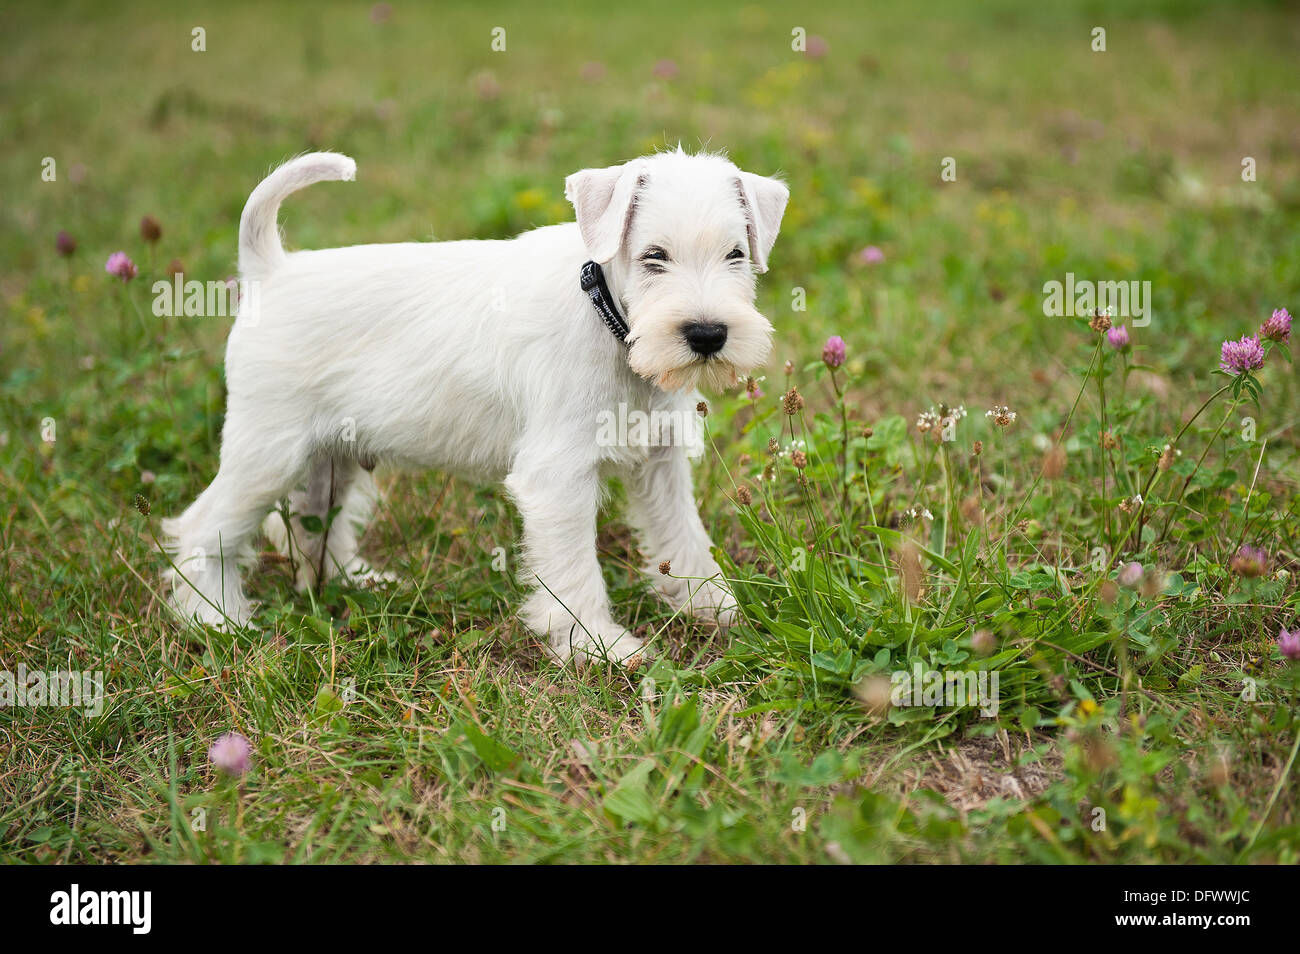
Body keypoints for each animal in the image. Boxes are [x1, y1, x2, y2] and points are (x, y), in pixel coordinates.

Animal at [166, 147, 785, 665]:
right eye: (654, 256)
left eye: (735, 254)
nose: (707, 334)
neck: (608, 316)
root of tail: (270, 270)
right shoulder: (557, 477)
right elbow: (575, 569)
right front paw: (600, 647)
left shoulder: (660, 459)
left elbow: (683, 535)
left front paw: (715, 608)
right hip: (267, 453)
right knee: (204, 529)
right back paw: (218, 621)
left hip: (329, 456)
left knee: (313, 524)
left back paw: (353, 582)